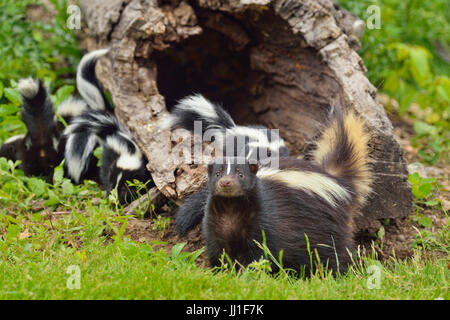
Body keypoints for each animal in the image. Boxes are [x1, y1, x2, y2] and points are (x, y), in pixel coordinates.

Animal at [202, 107, 370, 276]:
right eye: (218, 174)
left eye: (240, 174)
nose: (226, 182)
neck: (231, 207)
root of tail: (338, 181)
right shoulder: (216, 223)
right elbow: (218, 249)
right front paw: (220, 270)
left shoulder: (264, 218)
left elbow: (260, 249)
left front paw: (248, 271)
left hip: (328, 224)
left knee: (334, 251)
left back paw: (337, 272)